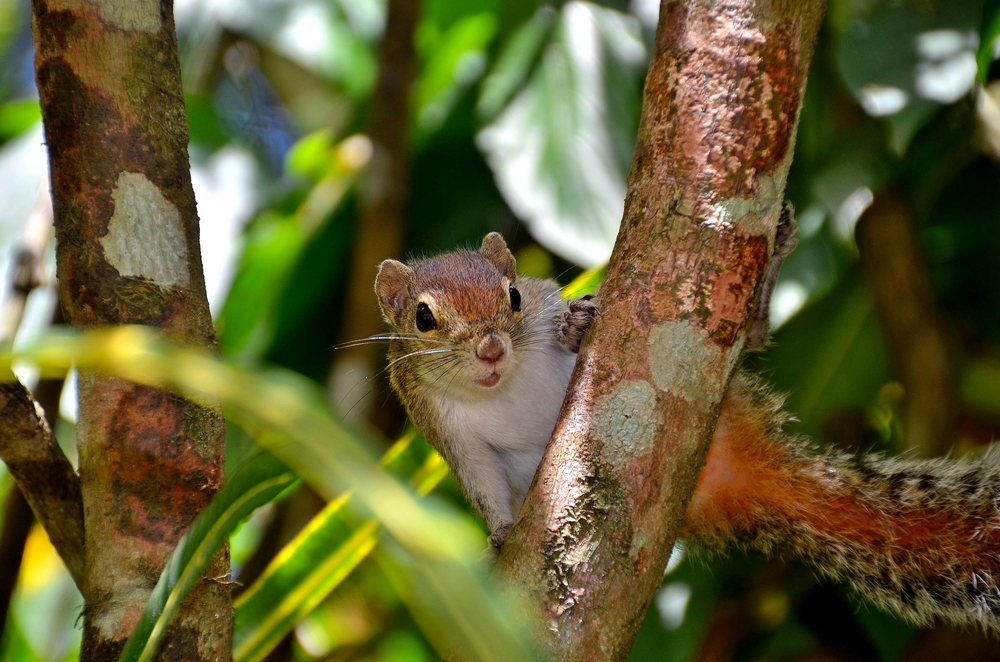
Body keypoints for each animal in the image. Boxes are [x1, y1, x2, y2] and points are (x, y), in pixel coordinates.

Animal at [372, 230, 1000, 640]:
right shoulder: (450, 435)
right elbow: (482, 486)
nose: (491, 348)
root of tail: (725, 468)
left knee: (752, 339)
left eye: (515, 296)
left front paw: (576, 323)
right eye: (423, 318)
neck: (497, 389)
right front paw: (500, 535)